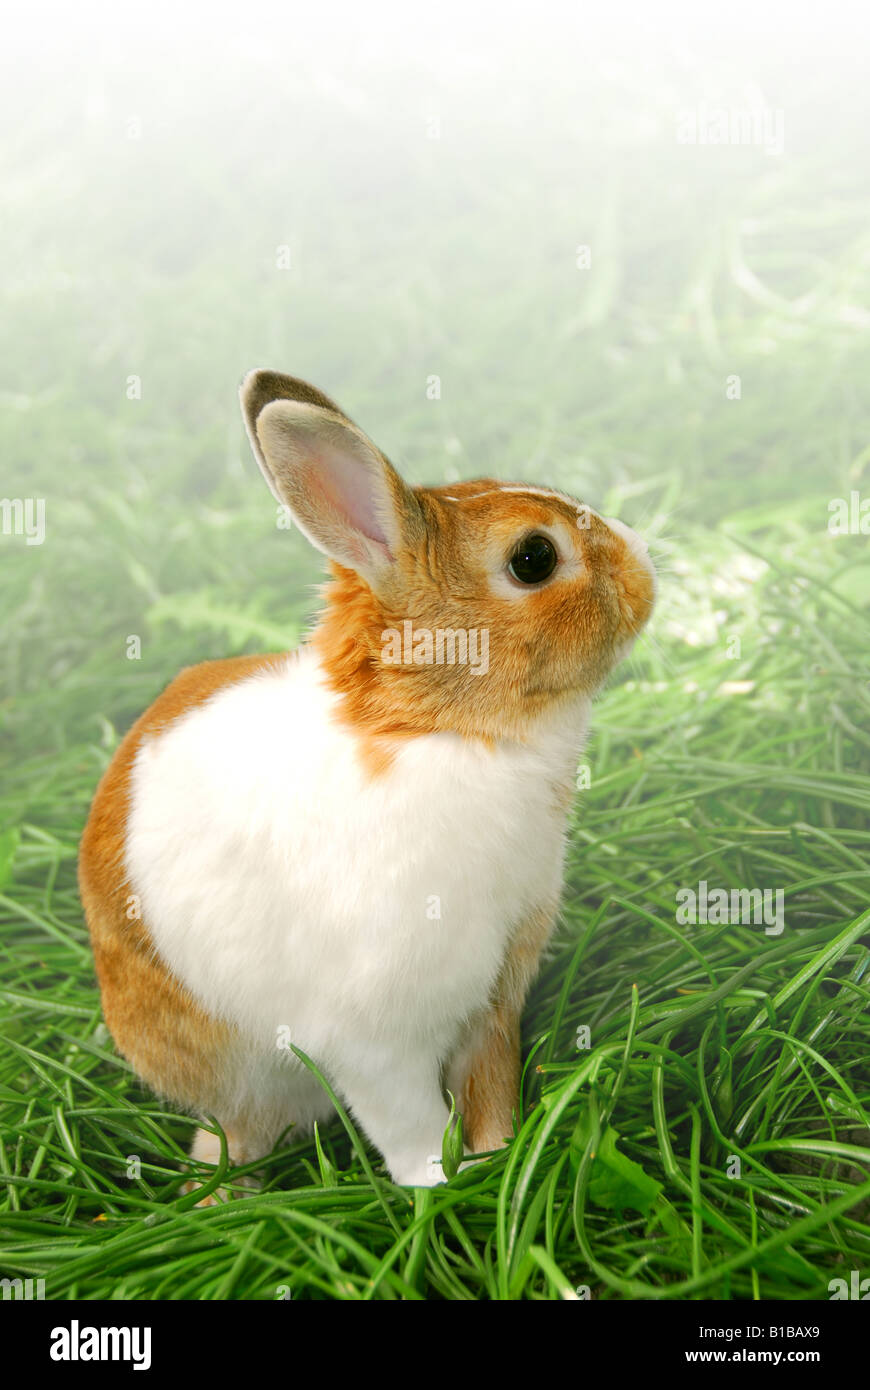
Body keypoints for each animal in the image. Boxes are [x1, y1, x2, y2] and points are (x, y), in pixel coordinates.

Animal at [78, 369, 656, 1192]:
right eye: (534, 559)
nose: (643, 555)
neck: (449, 731)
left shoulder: (492, 999)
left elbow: (489, 1087)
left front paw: (497, 1155)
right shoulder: (371, 1038)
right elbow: (408, 1124)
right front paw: (441, 1187)